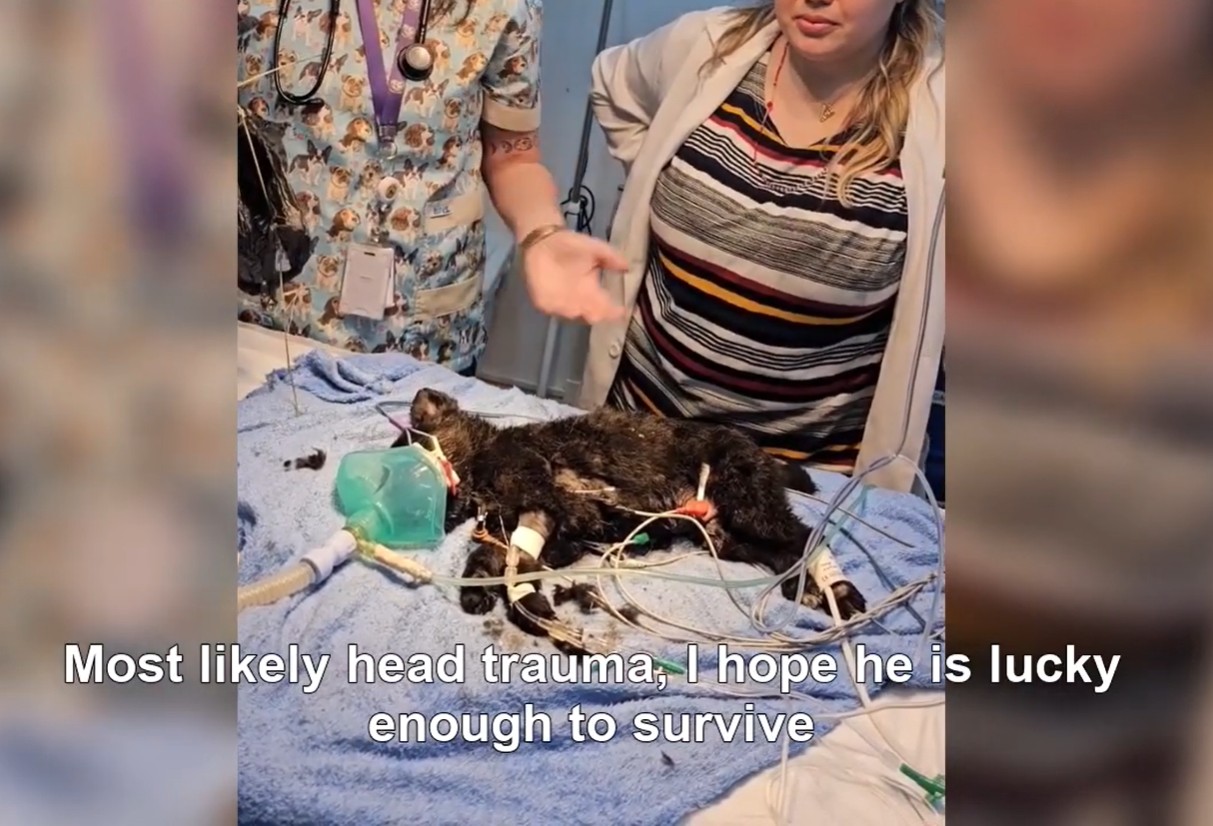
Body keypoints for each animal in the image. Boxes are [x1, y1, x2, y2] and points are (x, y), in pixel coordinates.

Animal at [398, 387, 868, 648]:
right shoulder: (521, 525)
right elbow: (494, 558)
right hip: (726, 536)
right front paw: (479, 588)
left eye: (414, 445)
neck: (484, 460)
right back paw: (803, 588)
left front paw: (528, 604)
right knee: (782, 551)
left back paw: (837, 590)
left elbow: (520, 561)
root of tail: (763, 454)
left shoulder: (542, 500)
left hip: (748, 506)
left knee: (804, 535)